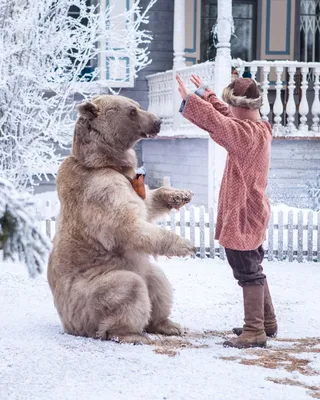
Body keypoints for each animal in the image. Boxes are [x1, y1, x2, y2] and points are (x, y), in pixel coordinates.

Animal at [47, 94, 195, 344]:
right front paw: (185, 245)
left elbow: (146, 204)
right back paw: (130, 333)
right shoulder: (100, 189)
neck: (104, 162)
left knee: (157, 281)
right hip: (87, 291)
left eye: (138, 106)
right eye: (132, 111)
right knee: (128, 288)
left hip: (138, 270)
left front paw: (180, 195)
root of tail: (67, 323)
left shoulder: (130, 185)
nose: (157, 122)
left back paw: (169, 324)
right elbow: (126, 225)